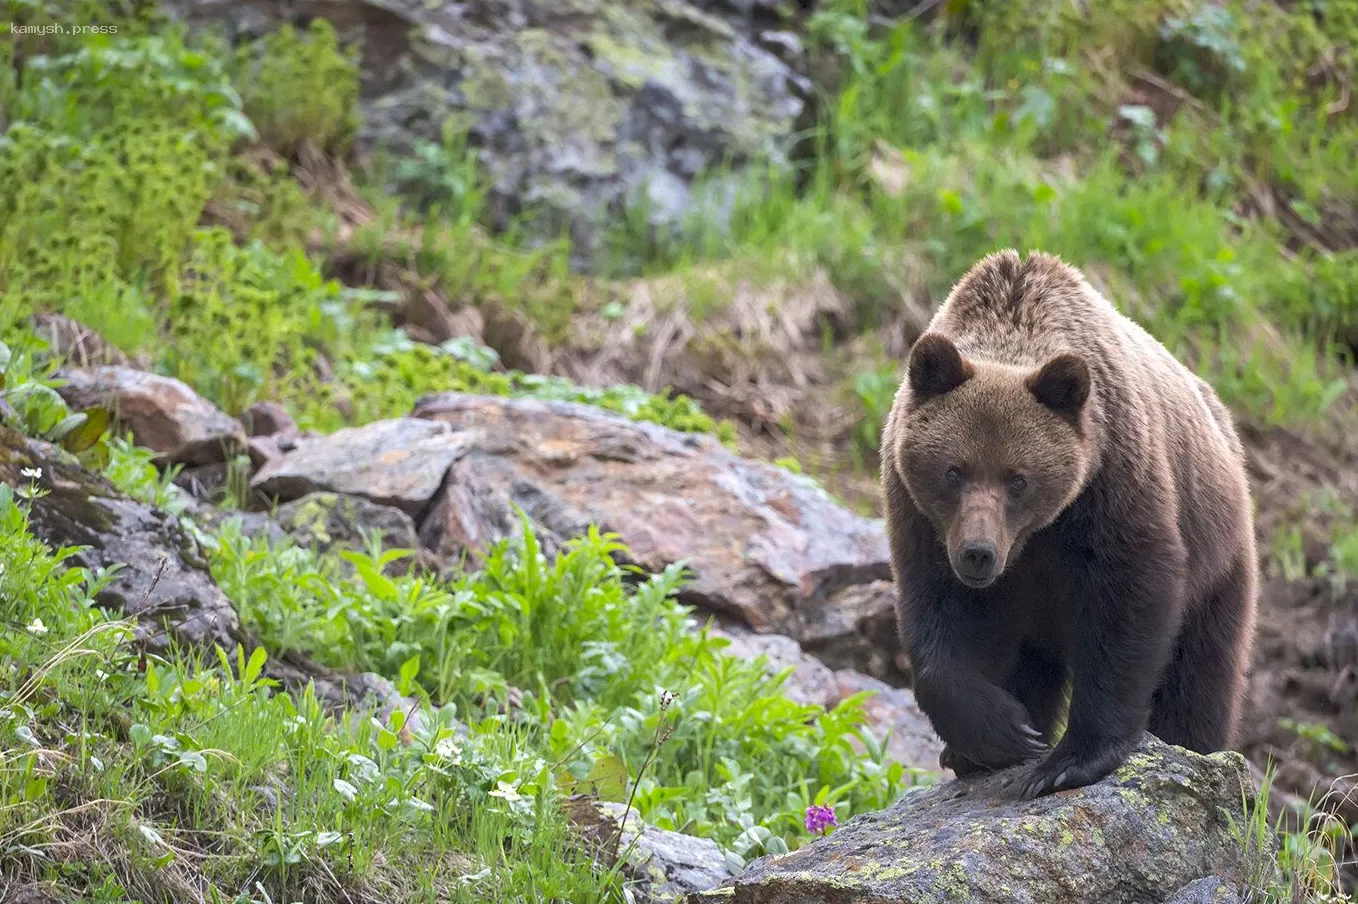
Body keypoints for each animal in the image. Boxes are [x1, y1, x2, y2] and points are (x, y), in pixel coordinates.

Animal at [885, 247, 1254, 798]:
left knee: (1200, 674)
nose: (978, 554)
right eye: (954, 470)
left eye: (1018, 478)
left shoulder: (1112, 484)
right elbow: (936, 619)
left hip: (1218, 558)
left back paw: (1198, 746)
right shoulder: (922, 520)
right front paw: (1003, 733)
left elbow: (1127, 603)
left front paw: (1066, 760)